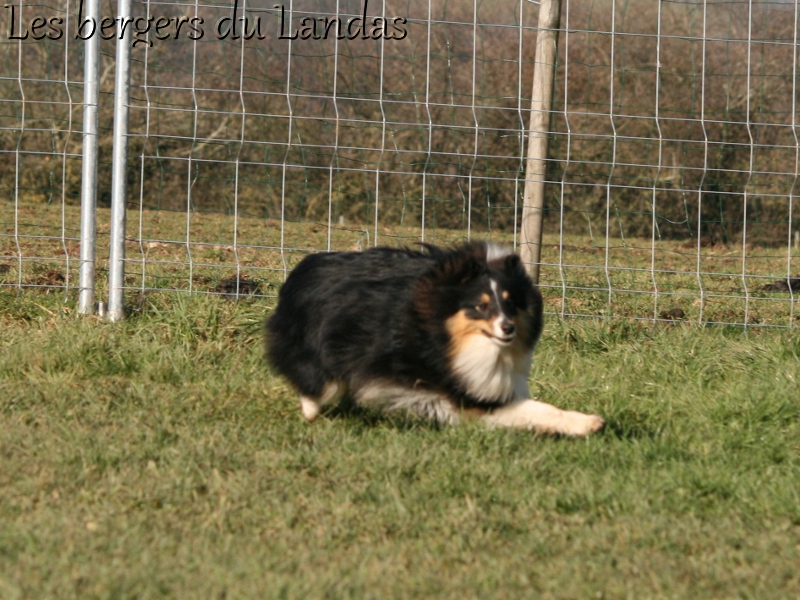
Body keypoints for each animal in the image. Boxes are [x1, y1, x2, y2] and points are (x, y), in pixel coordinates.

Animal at [266, 241, 604, 436]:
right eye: (481, 306)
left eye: (511, 303)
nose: (508, 328)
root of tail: (302, 267)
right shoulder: (461, 391)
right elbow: (535, 408)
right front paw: (588, 423)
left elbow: (538, 409)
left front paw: (587, 422)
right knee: (318, 383)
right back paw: (312, 411)